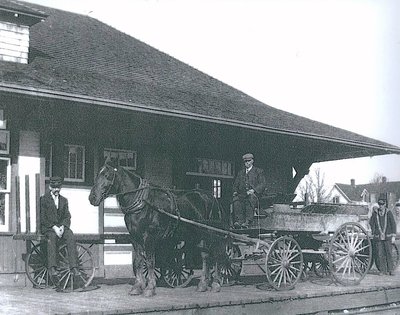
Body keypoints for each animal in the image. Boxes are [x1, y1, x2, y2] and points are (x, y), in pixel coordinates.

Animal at [88, 159, 227, 298]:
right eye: (98, 175)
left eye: (107, 175)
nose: (92, 198)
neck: (144, 203)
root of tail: (212, 197)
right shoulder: (135, 238)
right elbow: (138, 261)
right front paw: (137, 287)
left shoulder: (149, 237)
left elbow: (150, 261)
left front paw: (150, 288)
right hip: (199, 235)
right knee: (205, 256)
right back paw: (203, 284)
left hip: (213, 233)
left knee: (217, 255)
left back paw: (216, 284)